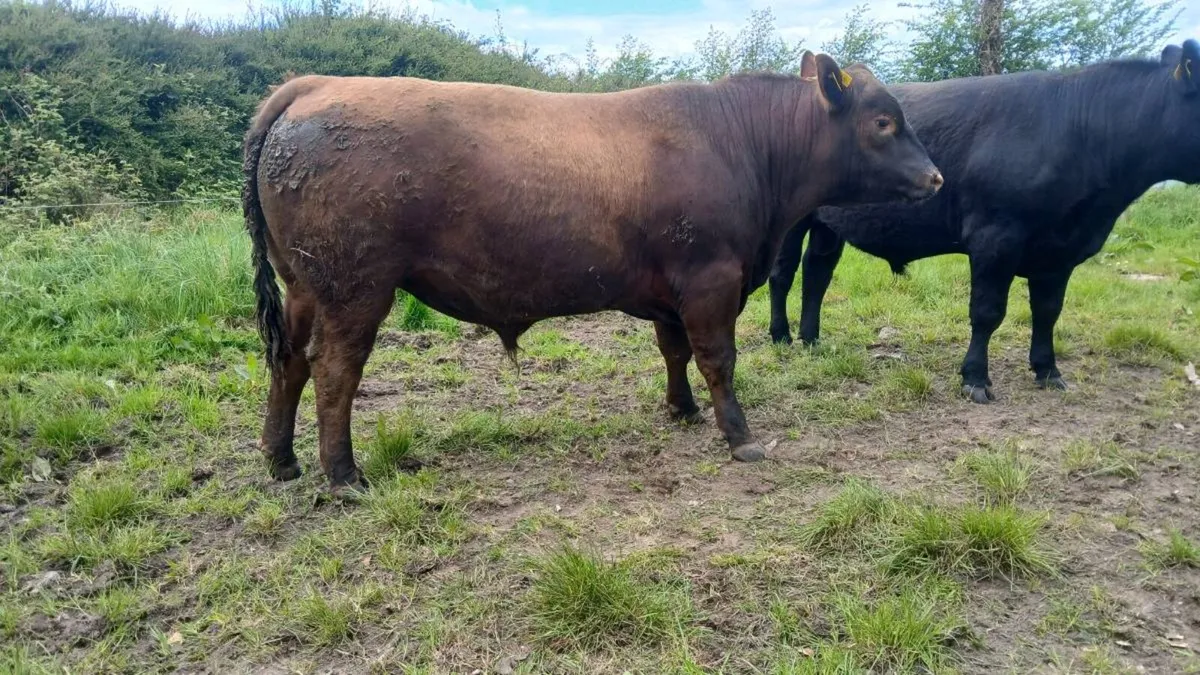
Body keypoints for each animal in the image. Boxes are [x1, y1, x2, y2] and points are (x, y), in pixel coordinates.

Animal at [242, 52, 943, 497]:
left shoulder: (672, 290)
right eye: (884, 122)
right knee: (335, 369)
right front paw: (740, 436)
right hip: (355, 288)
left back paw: (281, 460)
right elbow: (718, 358)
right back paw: (344, 476)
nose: (936, 178)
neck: (738, 141)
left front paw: (682, 410)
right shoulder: (711, 278)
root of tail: (312, 85)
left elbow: (674, 351)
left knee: (289, 362)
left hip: (303, 285)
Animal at [768, 41, 1200, 404]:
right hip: (792, 221)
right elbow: (988, 311)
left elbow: (1048, 311)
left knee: (817, 272)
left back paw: (811, 339)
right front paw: (975, 378)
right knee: (783, 273)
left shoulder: (1060, 251)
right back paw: (781, 336)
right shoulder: (995, 238)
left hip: (829, 224)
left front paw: (1048, 371)